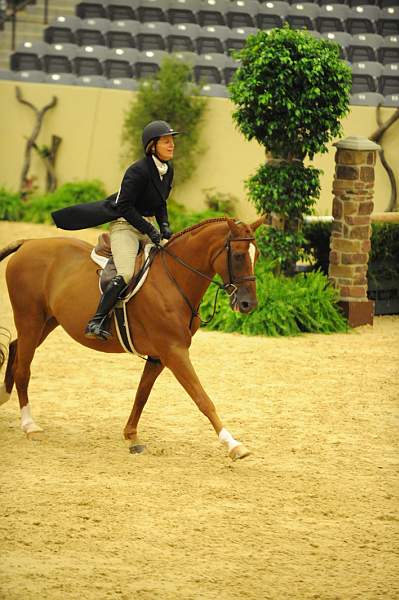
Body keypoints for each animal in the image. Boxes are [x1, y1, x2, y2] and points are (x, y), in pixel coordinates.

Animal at [0, 218, 262, 458]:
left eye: (256, 255)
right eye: (238, 255)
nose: (248, 304)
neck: (173, 279)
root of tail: (28, 243)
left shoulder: (159, 355)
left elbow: (142, 394)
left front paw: (131, 436)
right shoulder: (174, 351)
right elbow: (202, 398)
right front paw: (233, 444)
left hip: (46, 322)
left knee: (15, 349)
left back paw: (4, 396)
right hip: (30, 319)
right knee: (23, 369)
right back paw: (30, 426)